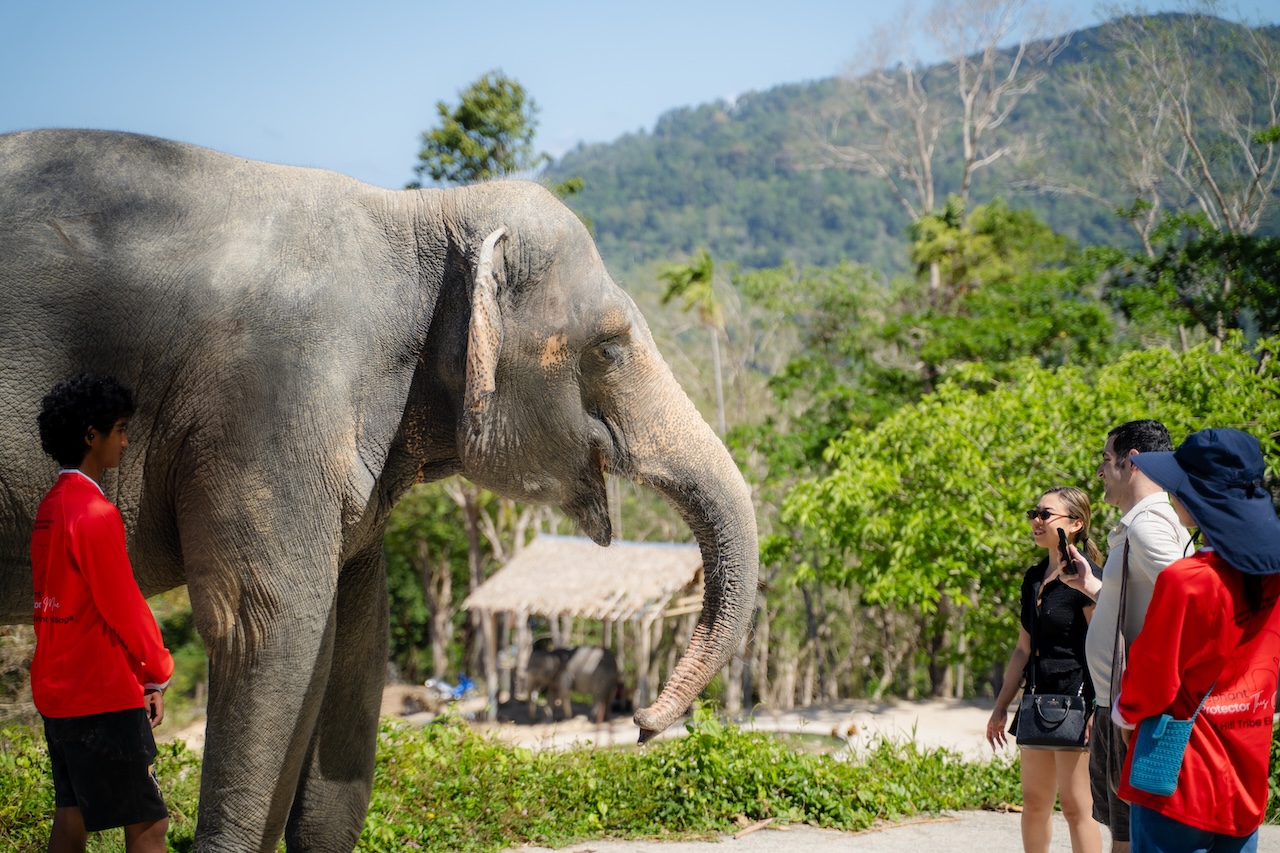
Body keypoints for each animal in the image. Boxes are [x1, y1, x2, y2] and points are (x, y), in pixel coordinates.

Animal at [0, 130, 759, 852]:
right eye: (607, 348)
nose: (642, 724)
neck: (418, 214)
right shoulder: (268, 406)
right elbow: (267, 621)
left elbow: (356, 639)